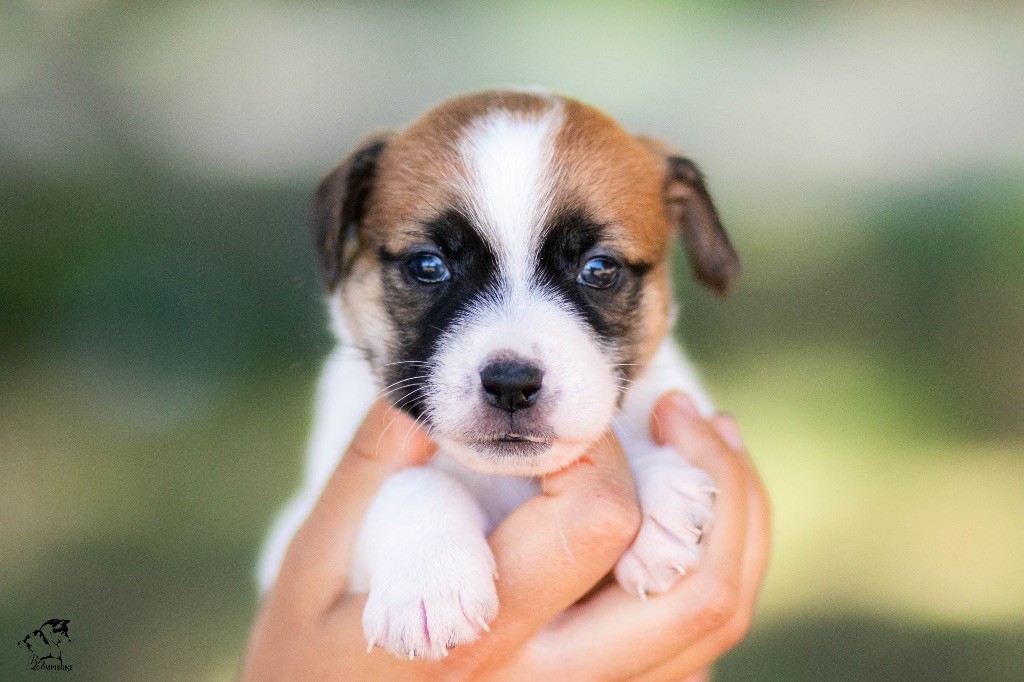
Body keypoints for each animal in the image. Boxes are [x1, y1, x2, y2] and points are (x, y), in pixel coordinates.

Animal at [260, 89, 741, 659]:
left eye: (599, 269)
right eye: (428, 266)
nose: (512, 385)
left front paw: (658, 492)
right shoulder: (297, 529)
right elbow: (410, 482)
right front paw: (430, 578)